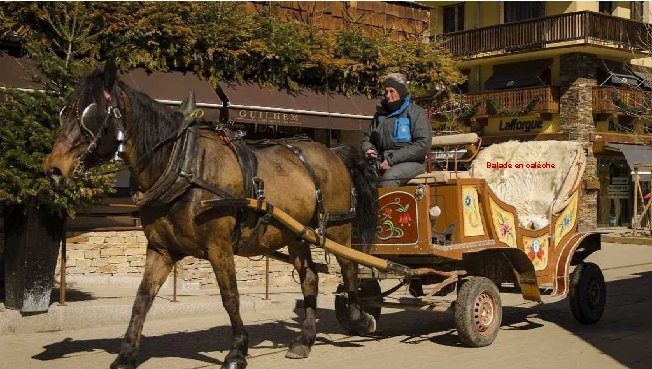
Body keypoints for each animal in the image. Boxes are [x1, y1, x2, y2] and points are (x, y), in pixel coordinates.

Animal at [43, 61, 380, 366]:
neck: (184, 166)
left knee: (350, 269)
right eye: (62, 112)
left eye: (90, 114)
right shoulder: (161, 249)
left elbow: (230, 297)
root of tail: (333, 152)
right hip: (297, 234)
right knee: (309, 278)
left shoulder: (219, 247)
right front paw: (126, 353)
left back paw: (359, 317)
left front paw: (238, 350)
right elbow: (142, 299)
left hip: (337, 228)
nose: (53, 169)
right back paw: (305, 339)